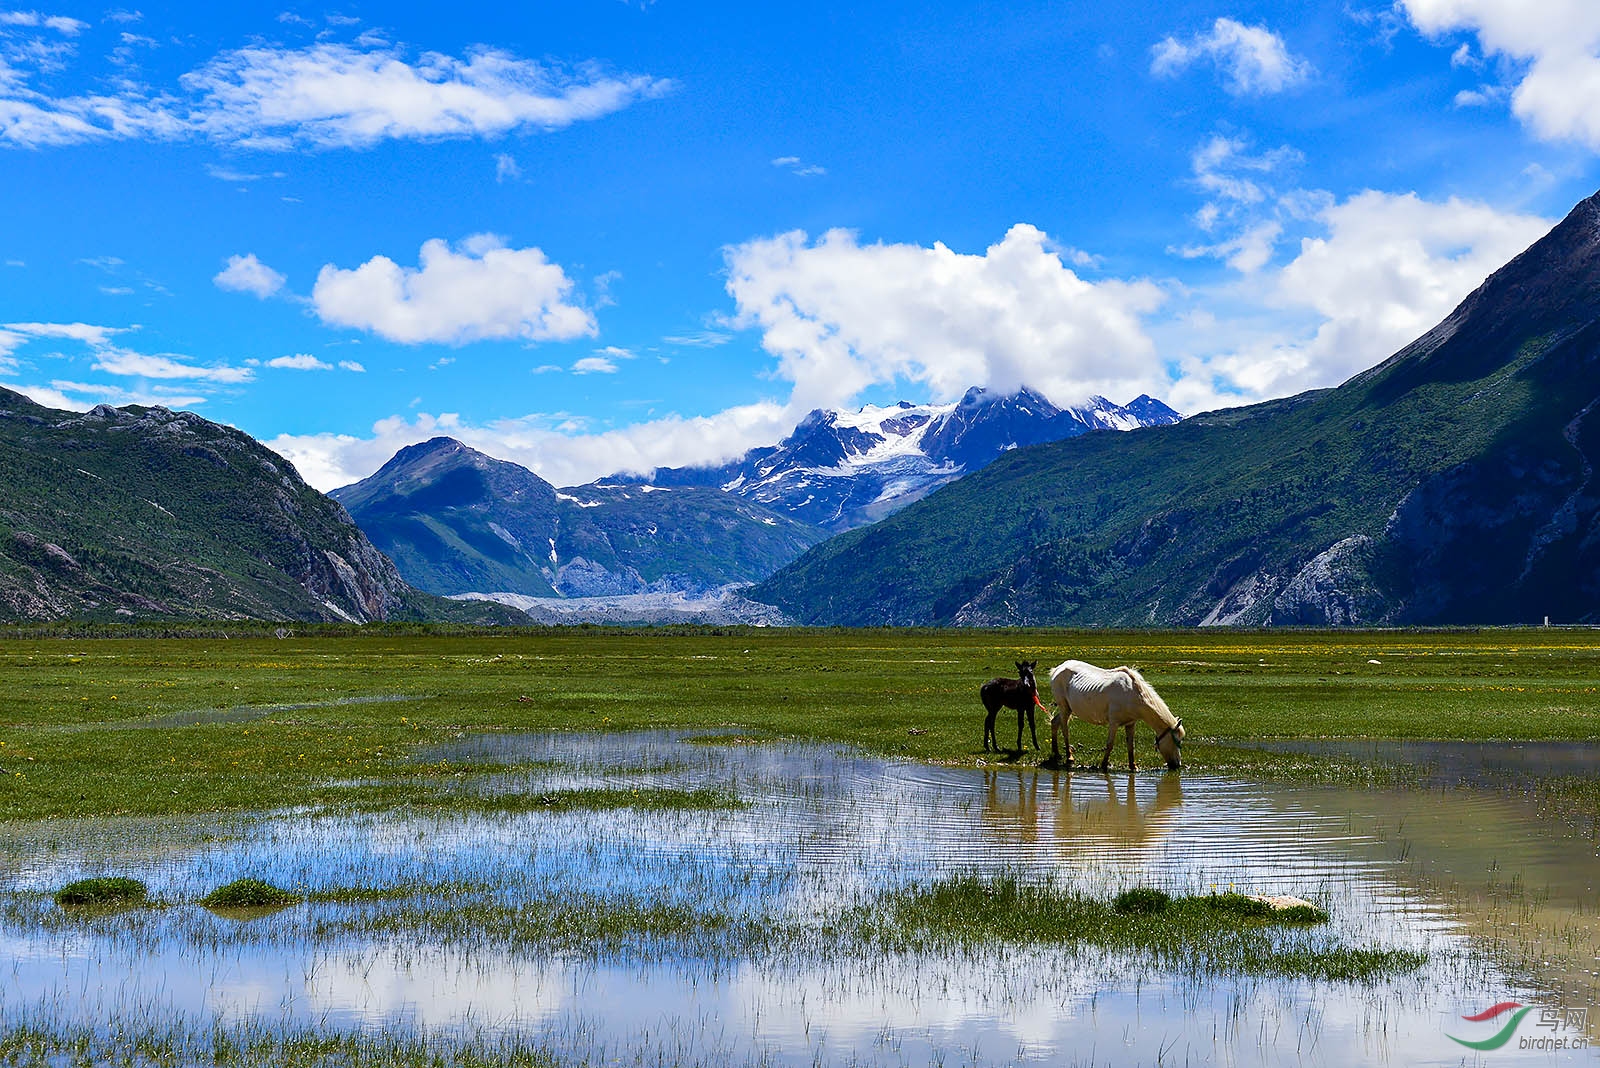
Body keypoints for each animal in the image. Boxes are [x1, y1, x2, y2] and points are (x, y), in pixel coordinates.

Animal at [1043, 658, 1184, 767]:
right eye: (1176, 741)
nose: (1177, 765)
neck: (1132, 693)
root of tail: (1058, 668)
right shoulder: (1114, 723)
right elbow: (1110, 744)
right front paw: (1104, 764)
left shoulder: (1130, 723)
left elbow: (1131, 745)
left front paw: (1133, 766)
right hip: (1064, 707)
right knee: (1064, 728)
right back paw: (1069, 757)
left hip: (1067, 709)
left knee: (1055, 722)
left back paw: (1056, 753)